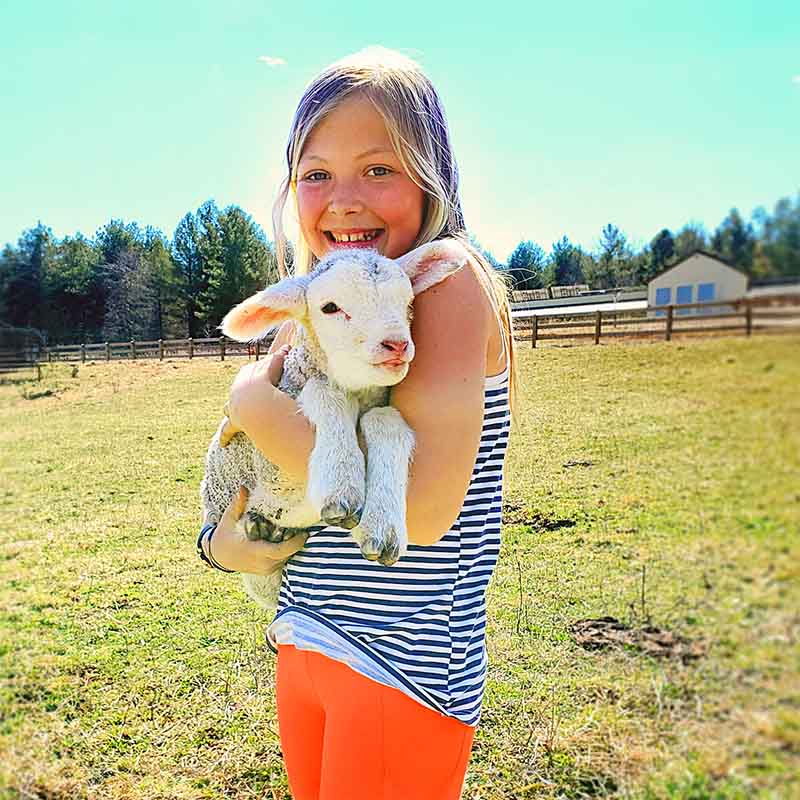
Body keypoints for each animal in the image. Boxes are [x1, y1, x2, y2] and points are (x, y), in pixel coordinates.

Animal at [198, 239, 468, 612]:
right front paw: (341, 484)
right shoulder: (276, 474)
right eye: (329, 308)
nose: (396, 345)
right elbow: (325, 392)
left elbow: (384, 419)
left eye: (408, 302)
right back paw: (261, 529)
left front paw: (382, 523)